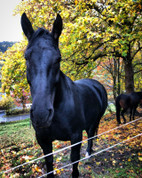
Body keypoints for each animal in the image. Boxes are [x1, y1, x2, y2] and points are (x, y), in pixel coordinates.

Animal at [20, 13, 107, 177]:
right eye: (26, 57)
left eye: (58, 58)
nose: (41, 114)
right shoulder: (44, 141)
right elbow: (49, 164)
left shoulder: (76, 137)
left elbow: (74, 161)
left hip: (95, 121)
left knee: (91, 135)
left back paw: (89, 153)